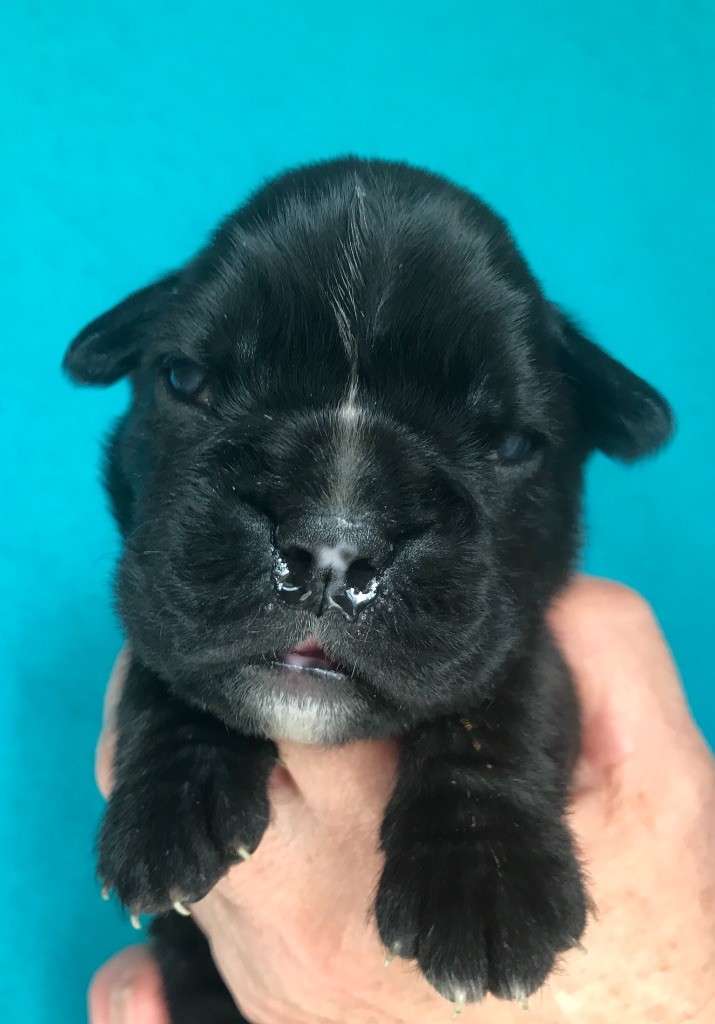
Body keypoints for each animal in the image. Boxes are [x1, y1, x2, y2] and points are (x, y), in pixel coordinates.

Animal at [64, 157, 673, 1022]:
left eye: (514, 446)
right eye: (185, 380)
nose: (333, 542)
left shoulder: (523, 630)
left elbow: (505, 695)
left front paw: (483, 878)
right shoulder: (166, 600)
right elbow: (174, 665)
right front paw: (167, 800)